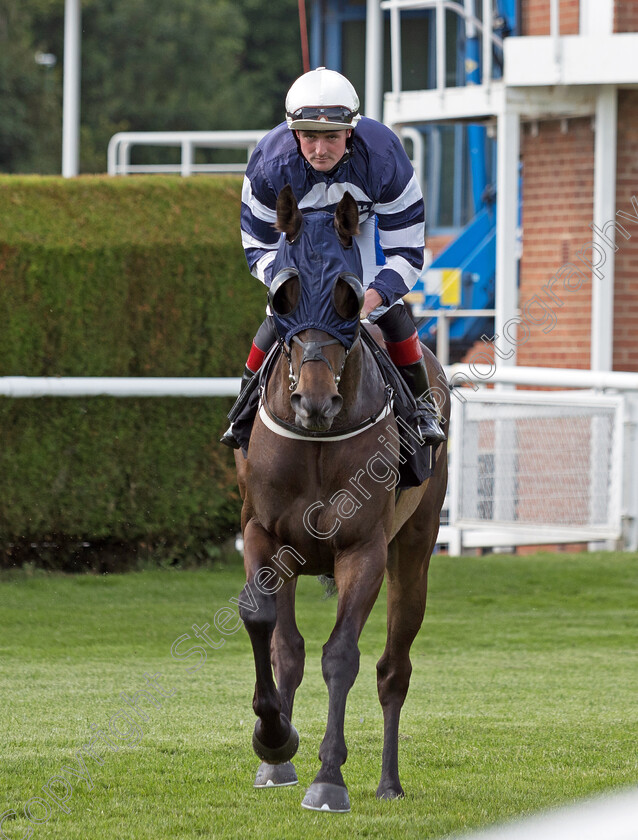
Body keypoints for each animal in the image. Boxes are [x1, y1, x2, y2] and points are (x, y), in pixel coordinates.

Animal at [234, 185, 450, 812]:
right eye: (283, 294)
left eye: (349, 298)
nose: (314, 401)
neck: (316, 442)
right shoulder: (263, 534)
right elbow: (269, 629)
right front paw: (274, 740)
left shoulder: (363, 549)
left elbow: (341, 655)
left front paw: (329, 776)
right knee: (292, 647)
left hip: (415, 550)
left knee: (393, 669)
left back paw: (388, 781)